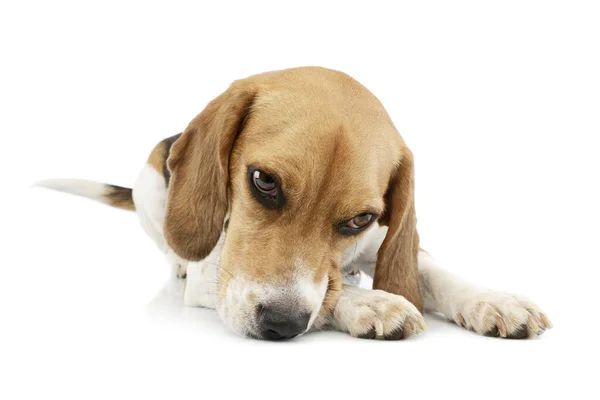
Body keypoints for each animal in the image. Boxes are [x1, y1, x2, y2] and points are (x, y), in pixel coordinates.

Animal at [38, 66, 552, 340]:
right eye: (264, 181)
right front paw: (372, 302)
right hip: (150, 188)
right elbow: (330, 294)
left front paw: (493, 300)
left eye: (361, 219)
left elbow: (432, 271)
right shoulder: (215, 277)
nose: (281, 324)